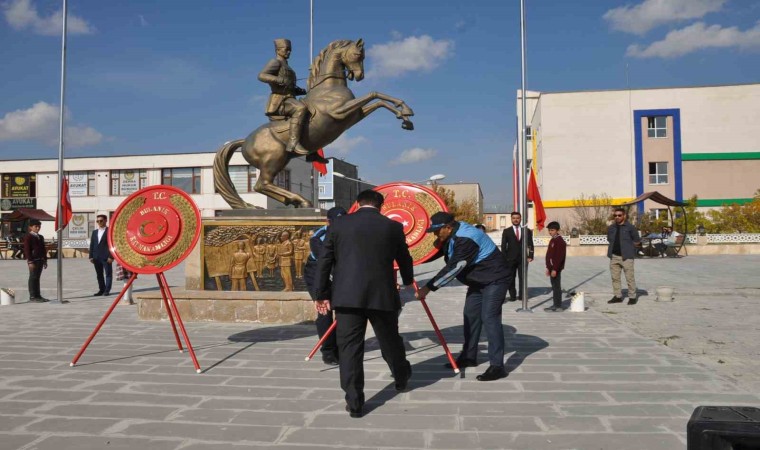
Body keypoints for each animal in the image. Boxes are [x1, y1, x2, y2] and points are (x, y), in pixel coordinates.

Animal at [214, 38, 416, 207]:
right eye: (357, 55)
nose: (360, 76)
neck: (328, 88)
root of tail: (245, 142)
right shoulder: (340, 112)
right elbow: (374, 94)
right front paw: (405, 113)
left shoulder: (355, 115)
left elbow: (379, 100)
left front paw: (405, 116)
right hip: (273, 159)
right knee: (261, 185)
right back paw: (301, 201)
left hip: (280, 160)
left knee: (264, 185)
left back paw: (294, 200)